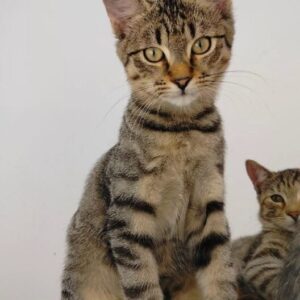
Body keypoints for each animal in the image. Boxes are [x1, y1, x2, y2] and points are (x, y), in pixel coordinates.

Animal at [62, 0, 237, 300]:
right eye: (153, 53)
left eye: (201, 45)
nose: (182, 80)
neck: (181, 130)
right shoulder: (128, 215)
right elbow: (142, 282)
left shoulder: (209, 205)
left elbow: (221, 272)